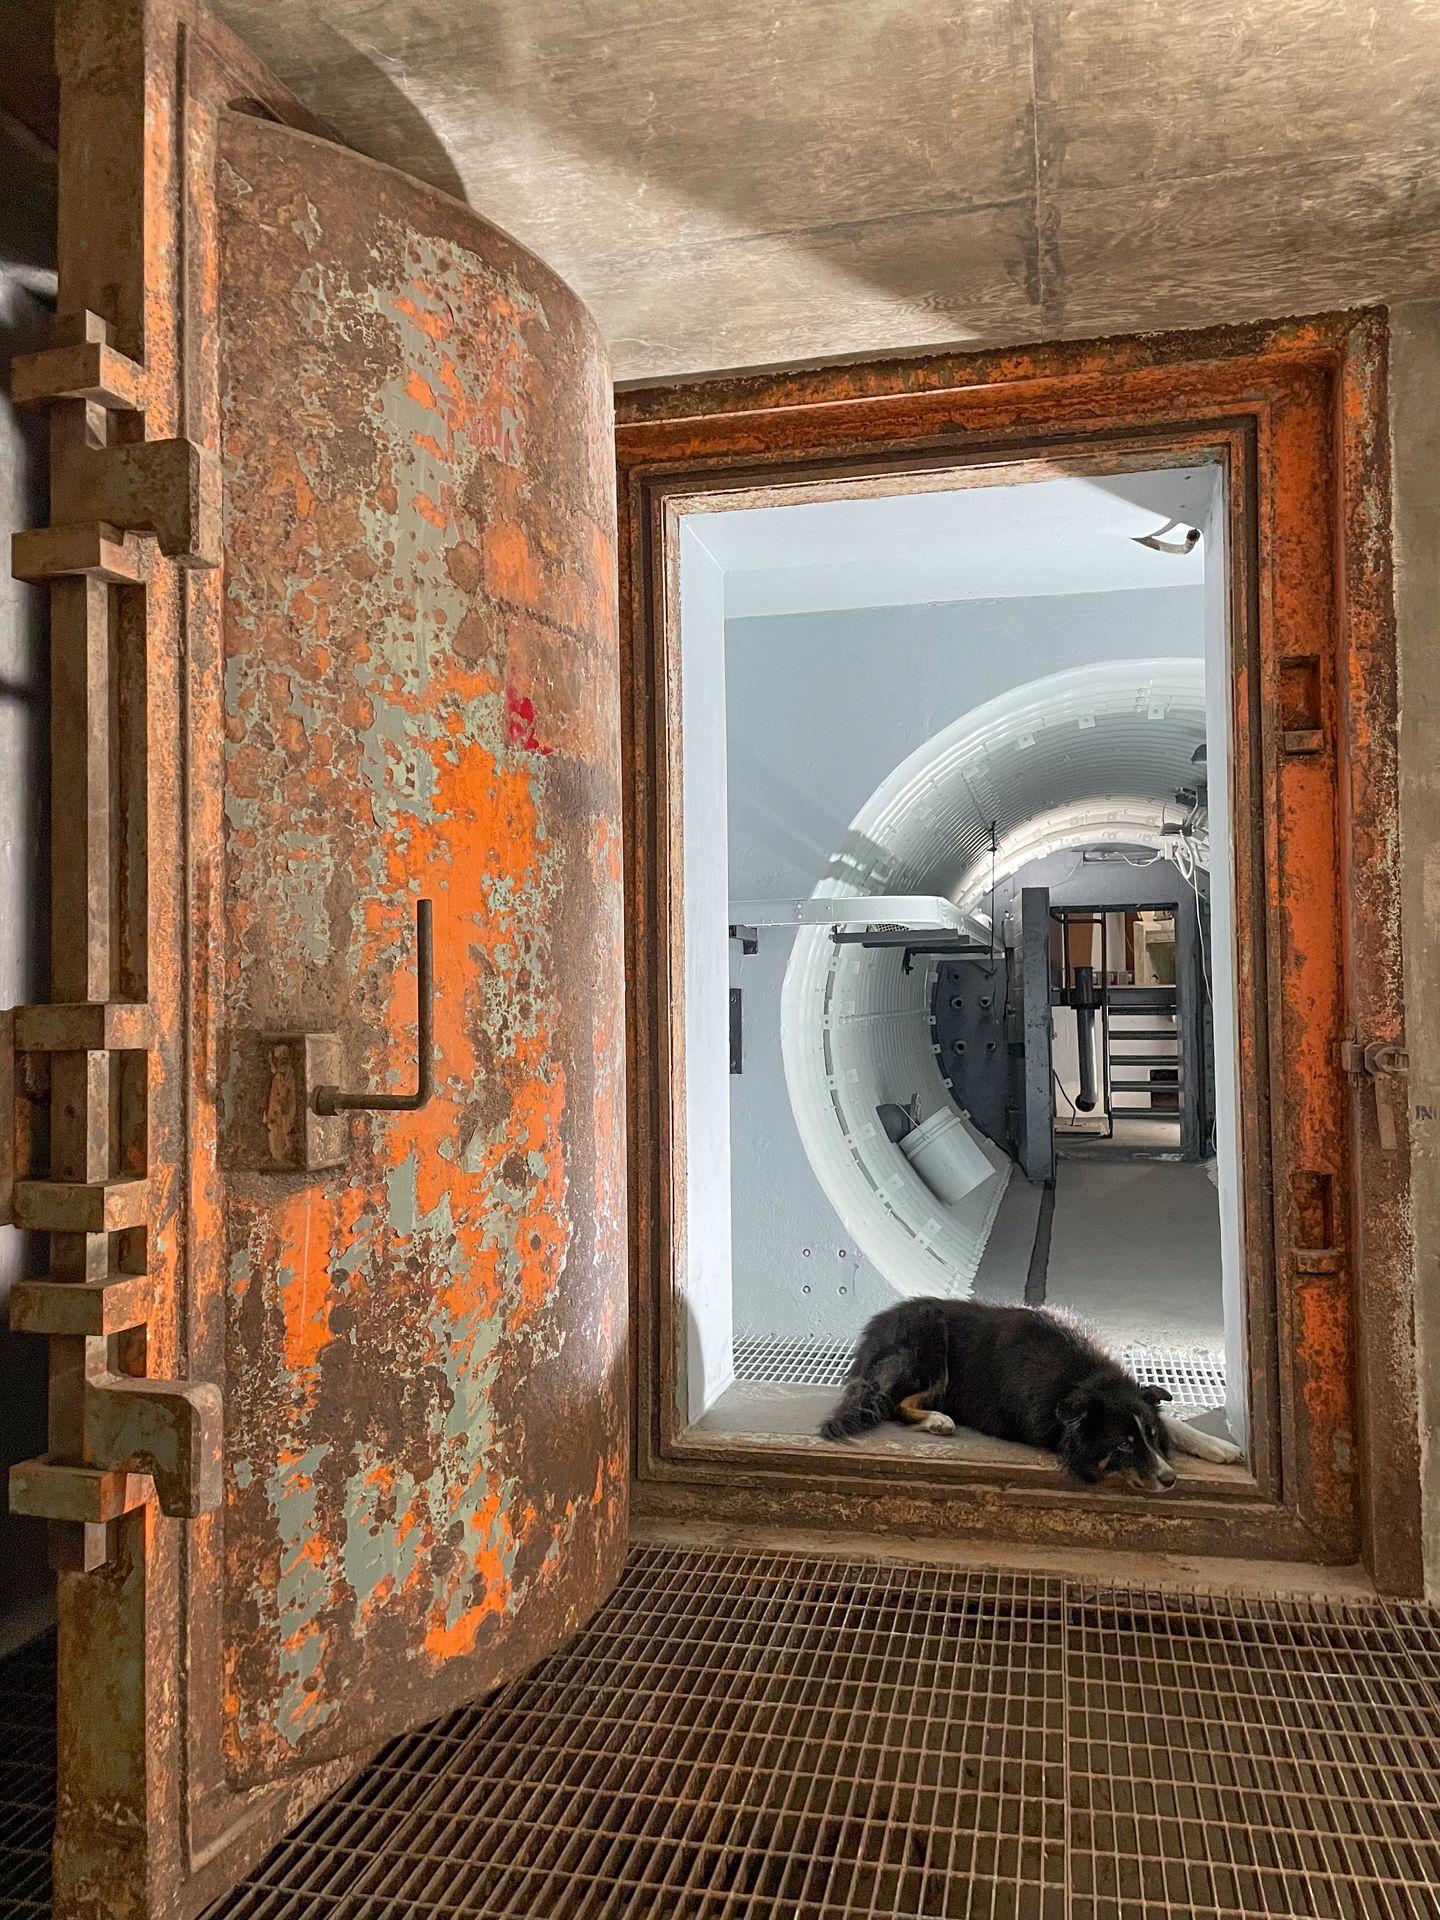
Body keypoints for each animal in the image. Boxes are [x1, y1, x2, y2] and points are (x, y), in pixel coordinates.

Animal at [817, 1305, 1244, 1482]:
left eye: (1150, 1438)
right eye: (1122, 1445)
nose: (1169, 1478)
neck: (1082, 1380)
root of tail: (870, 1333)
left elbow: (1172, 1420)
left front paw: (1218, 1446)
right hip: (929, 1340)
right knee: (895, 1403)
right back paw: (938, 1420)